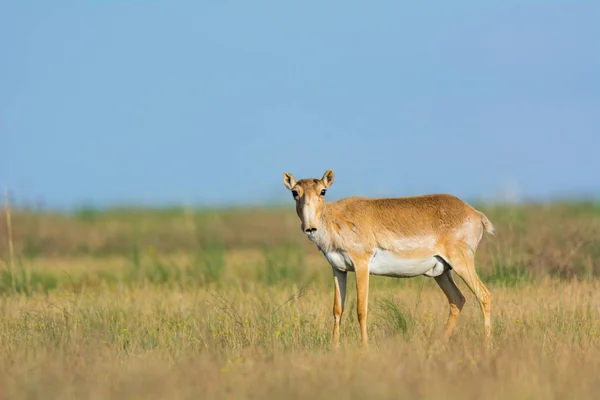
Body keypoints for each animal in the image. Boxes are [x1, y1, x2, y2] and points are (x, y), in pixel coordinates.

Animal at [284, 169, 494, 346]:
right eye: (295, 192)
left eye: (323, 191)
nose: (310, 228)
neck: (336, 218)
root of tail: (476, 214)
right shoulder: (338, 269)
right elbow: (337, 310)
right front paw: (334, 349)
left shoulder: (361, 265)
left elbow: (361, 309)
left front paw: (364, 349)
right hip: (441, 273)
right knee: (458, 300)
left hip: (462, 264)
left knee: (484, 295)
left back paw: (486, 345)